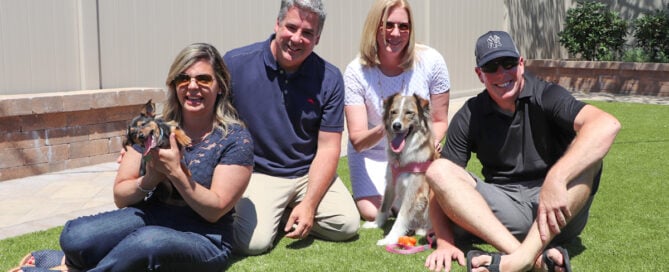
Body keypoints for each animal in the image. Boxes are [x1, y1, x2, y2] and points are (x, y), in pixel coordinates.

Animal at [362, 92, 436, 245]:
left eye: (409, 113)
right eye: (393, 112)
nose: (396, 125)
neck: (401, 158)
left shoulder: (414, 190)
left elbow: (402, 215)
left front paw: (390, 238)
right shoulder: (390, 182)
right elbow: (384, 206)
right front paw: (375, 224)